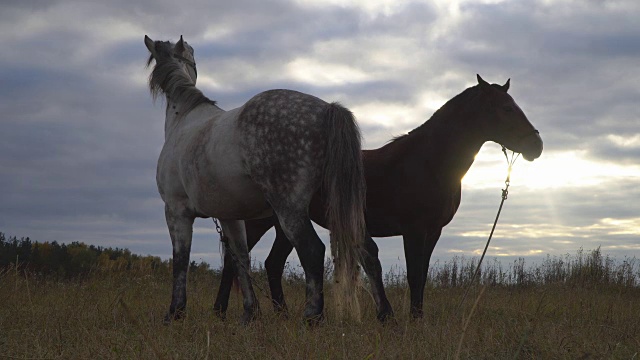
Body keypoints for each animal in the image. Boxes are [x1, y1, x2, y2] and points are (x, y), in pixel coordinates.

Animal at [214, 74, 540, 320]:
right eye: (506, 108)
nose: (536, 145)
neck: (428, 162)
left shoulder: (433, 231)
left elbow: (422, 273)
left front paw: (416, 317)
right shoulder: (413, 230)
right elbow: (414, 274)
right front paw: (412, 320)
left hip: (285, 222)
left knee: (272, 263)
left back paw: (280, 314)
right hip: (263, 221)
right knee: (236, 259)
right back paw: (222, 312)